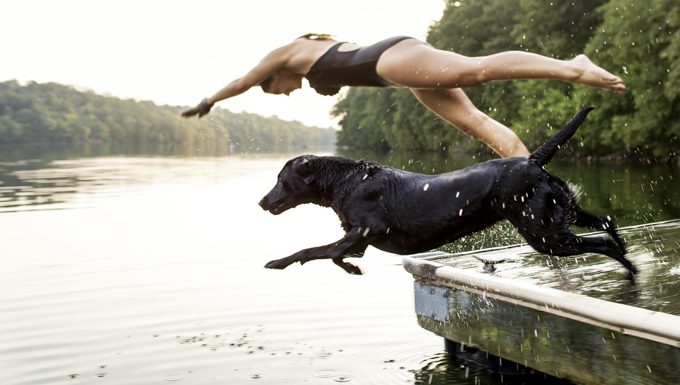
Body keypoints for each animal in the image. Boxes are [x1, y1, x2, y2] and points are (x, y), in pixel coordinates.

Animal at [258, 108, 636, 276]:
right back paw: (626, 253)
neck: (349, 180)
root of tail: (532, 160)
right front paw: (352, 268)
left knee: (601, 242)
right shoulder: (360, 238)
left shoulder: (367, 229)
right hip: (559, 214)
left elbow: (314, 250)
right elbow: (335, 254)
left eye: (280, 179)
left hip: (545, 233)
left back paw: (629, 270)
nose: (261, 202)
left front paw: (278, 261)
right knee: (606, 221)